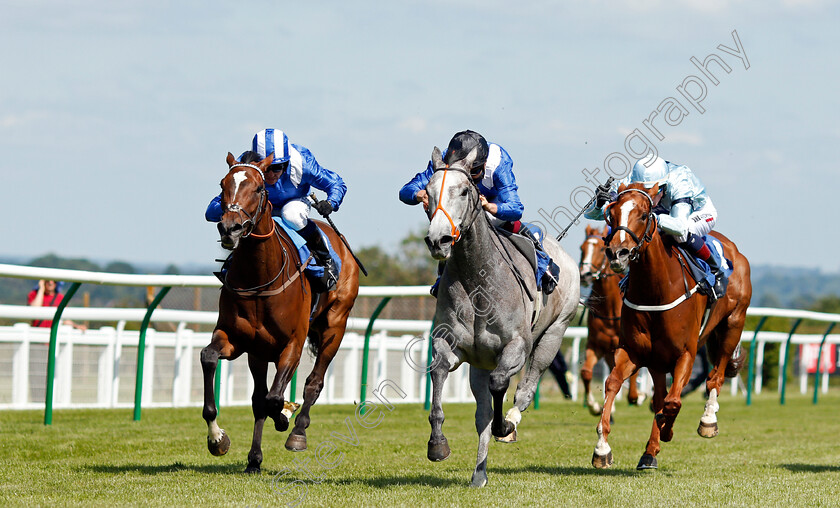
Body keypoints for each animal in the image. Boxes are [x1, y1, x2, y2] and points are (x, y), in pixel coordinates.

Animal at [206, 153, 360, 474]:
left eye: (258, 188)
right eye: (223, 184)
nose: (230, 229)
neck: (259, 279)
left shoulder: (292, 345)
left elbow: (275, 398)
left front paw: (286, 416)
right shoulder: (235, 340)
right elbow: (209, 358)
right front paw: (217, 439)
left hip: (335, 326)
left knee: (314, 382)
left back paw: (298, 431)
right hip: (259, 352)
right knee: (258, 399)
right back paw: (254, 460)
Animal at [424, 145, 580, 486]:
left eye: (464, 191)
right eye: (427, 192)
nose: (438, 239)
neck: (477, 278)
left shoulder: (516, 348)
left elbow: (501, 384)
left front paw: (504, 427)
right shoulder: (453, 345)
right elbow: (439, 372)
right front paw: (437, 444)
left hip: (553, 336)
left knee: (524, 390)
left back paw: (509, 423)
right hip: (479, 363)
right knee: (482, 412)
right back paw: (479, 474)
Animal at [580, 224, 640, 414]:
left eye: (601, 249)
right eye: (582, 248)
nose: (585, 274)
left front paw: (636, 396)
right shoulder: (596, 344)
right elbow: (586, 372)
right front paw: (594, 405)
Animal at [592, 183, 756, 468]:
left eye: (644, 215)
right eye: (611, 215)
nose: (617, 253)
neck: (656, 290)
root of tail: (735, 250)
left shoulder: (686, 354)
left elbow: (673, 403)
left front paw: (668, 430)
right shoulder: (634, 352)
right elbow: (613, 384)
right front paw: (602, 448)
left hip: (733, 324)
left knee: (715, 377)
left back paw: (708, 420)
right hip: (658, 360)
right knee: (661, 395)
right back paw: (649, 452)